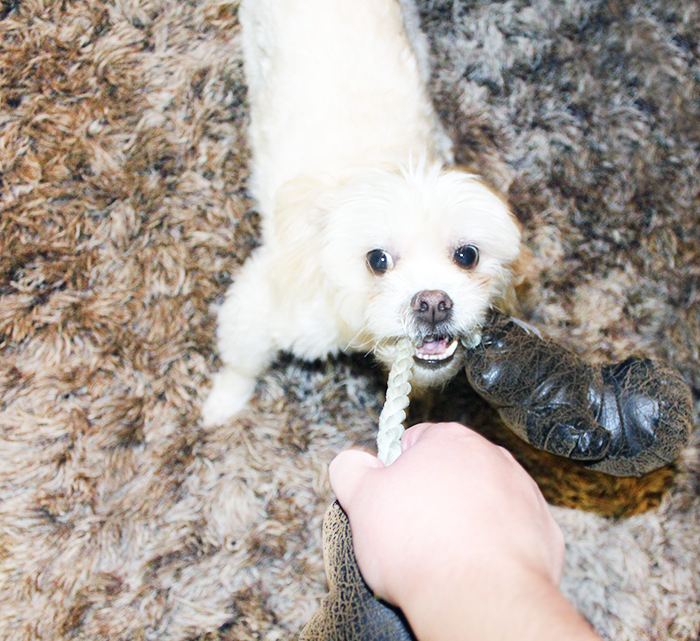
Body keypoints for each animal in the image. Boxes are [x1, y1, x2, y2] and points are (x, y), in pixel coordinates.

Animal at [200, 0, 524, 424]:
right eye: (377, 260)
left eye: (467, 255)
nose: (433, 303)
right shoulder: (267, 306)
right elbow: (241, 363)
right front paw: (223, 402)